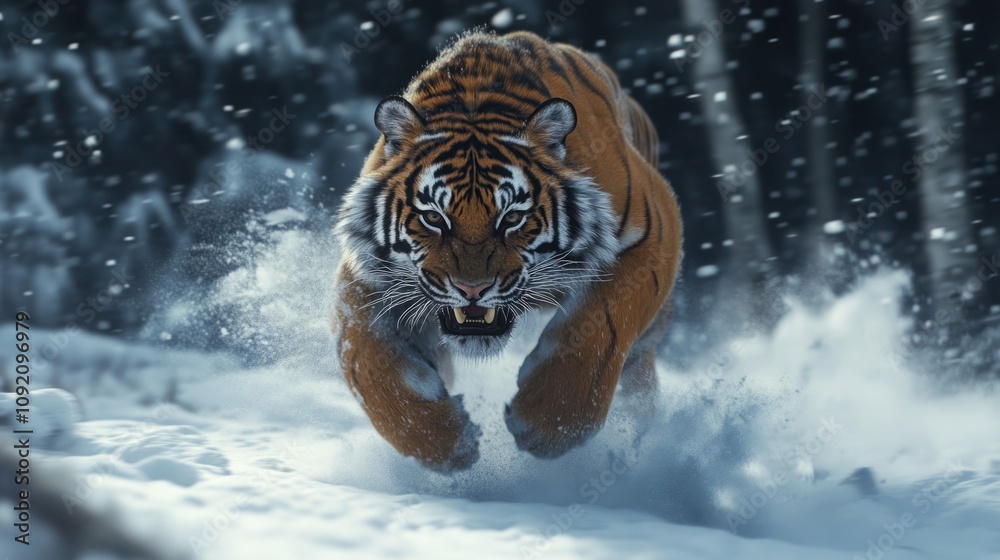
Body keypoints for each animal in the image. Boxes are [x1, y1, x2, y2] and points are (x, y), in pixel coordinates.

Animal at [332, 30, 683, 471]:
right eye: (433, 217)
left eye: (512, 217)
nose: (472, 289)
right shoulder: (367, 278)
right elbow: (365, 360)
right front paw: (444, 442)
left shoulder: (654, 231)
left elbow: (602, 325)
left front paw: (548, 425)